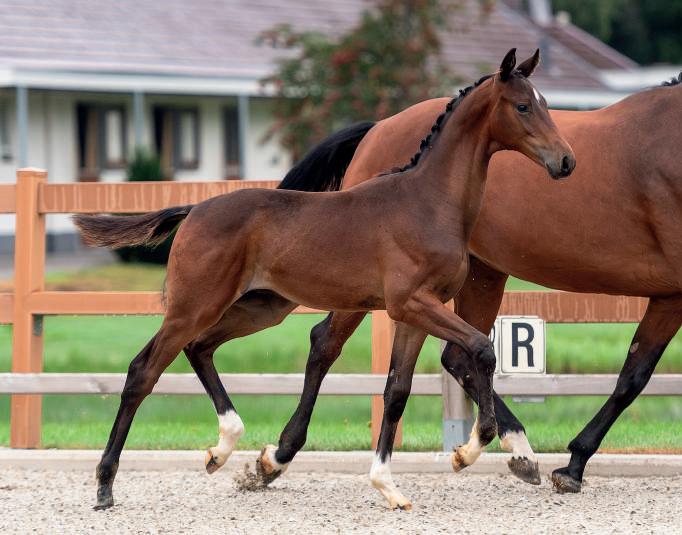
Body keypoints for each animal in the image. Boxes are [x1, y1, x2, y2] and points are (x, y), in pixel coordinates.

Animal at [74, 49, 574, 510]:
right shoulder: (412, 304)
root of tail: (194, 210)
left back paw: (223, 448)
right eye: (523, 106)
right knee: (144, 371)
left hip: (259, 308)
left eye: (545, 103)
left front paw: (389, 485)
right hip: (193, 306)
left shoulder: (413, 314)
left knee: (200, 349)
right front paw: (472, 449)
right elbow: (481, 349)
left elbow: (397, 391)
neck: (428, 201)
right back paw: (105, 485)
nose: (566, 161)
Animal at [247, 68, 682, 493]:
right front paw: (573, 465)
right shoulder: (673, 295)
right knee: (327, 343)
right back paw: (278, 457)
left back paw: (513, 451)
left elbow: (634, 373)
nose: (565, 162)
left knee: (458, 356)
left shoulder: (668, 296)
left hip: (481, 275)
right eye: (523, 106)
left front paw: (572, 462)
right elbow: (633, 379)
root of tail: (378, 128)